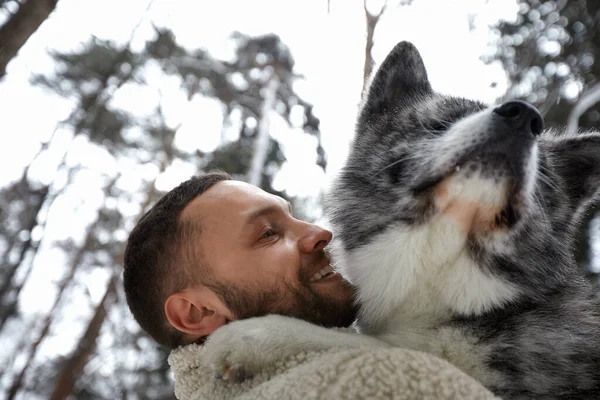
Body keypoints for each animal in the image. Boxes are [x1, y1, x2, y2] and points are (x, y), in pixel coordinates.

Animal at [202, 41, 600, 400]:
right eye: (442, 123)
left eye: (542, 170)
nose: (525, 116)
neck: (440, 261)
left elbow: (381, 346)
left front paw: (260, 334)